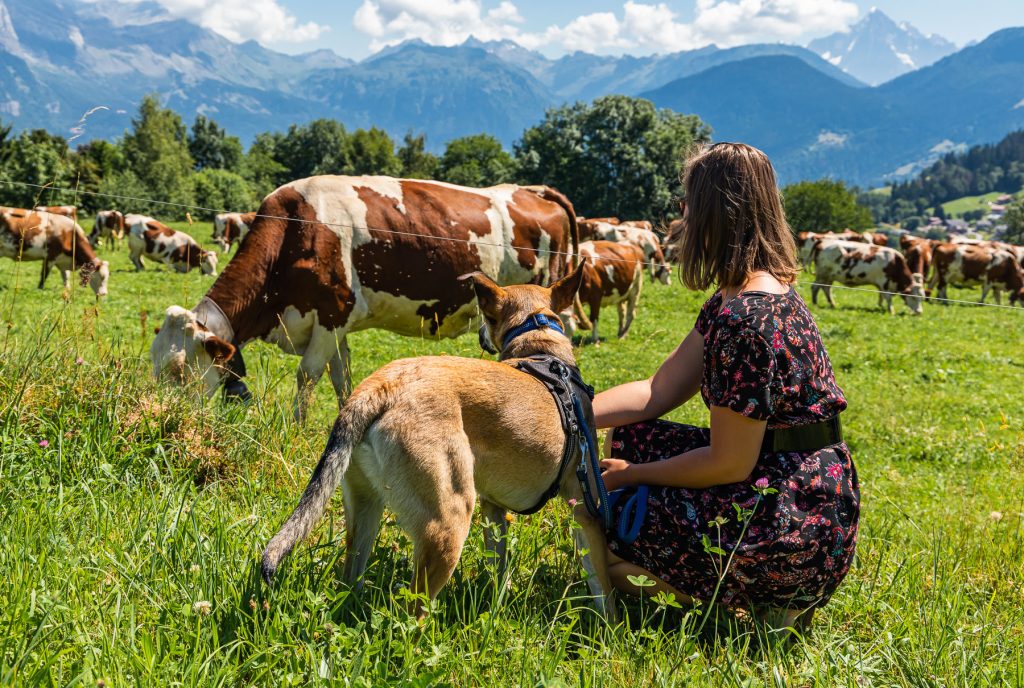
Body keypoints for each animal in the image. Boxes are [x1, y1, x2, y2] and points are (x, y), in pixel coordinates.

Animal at [148, 175, 589, 419]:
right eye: (154, 365)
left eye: (179, 370)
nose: (163, 414)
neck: (295, 228)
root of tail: (532, 191)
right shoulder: (336, 324)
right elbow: (341, 378)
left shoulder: (331, 311)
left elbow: (307, 376)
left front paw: (296, 427)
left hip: (548, 297)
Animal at [264, 264, 614, 618]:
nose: (480, 336)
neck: (540, 346)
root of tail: (378, 387)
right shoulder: (585, 509)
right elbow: (602, 587)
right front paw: (609, 627)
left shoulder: (494, 510)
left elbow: (499, 570)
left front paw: (496, 610)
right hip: (448, 523)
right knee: (410, 614)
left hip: (364, 511)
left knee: (351, 582)